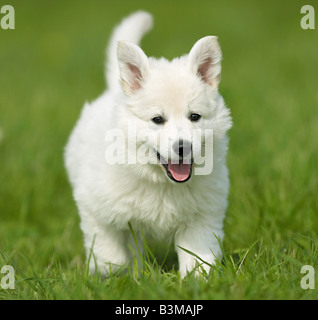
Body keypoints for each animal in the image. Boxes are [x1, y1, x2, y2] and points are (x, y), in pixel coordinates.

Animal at [64, 11, 232, 278]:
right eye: (157, 119)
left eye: (194, 116)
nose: (183, 147)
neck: (161, 184)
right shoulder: (95, 210)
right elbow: (110, 255)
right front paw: (112, 275)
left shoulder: (201, 218)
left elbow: (198, 258)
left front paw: (200, 281)